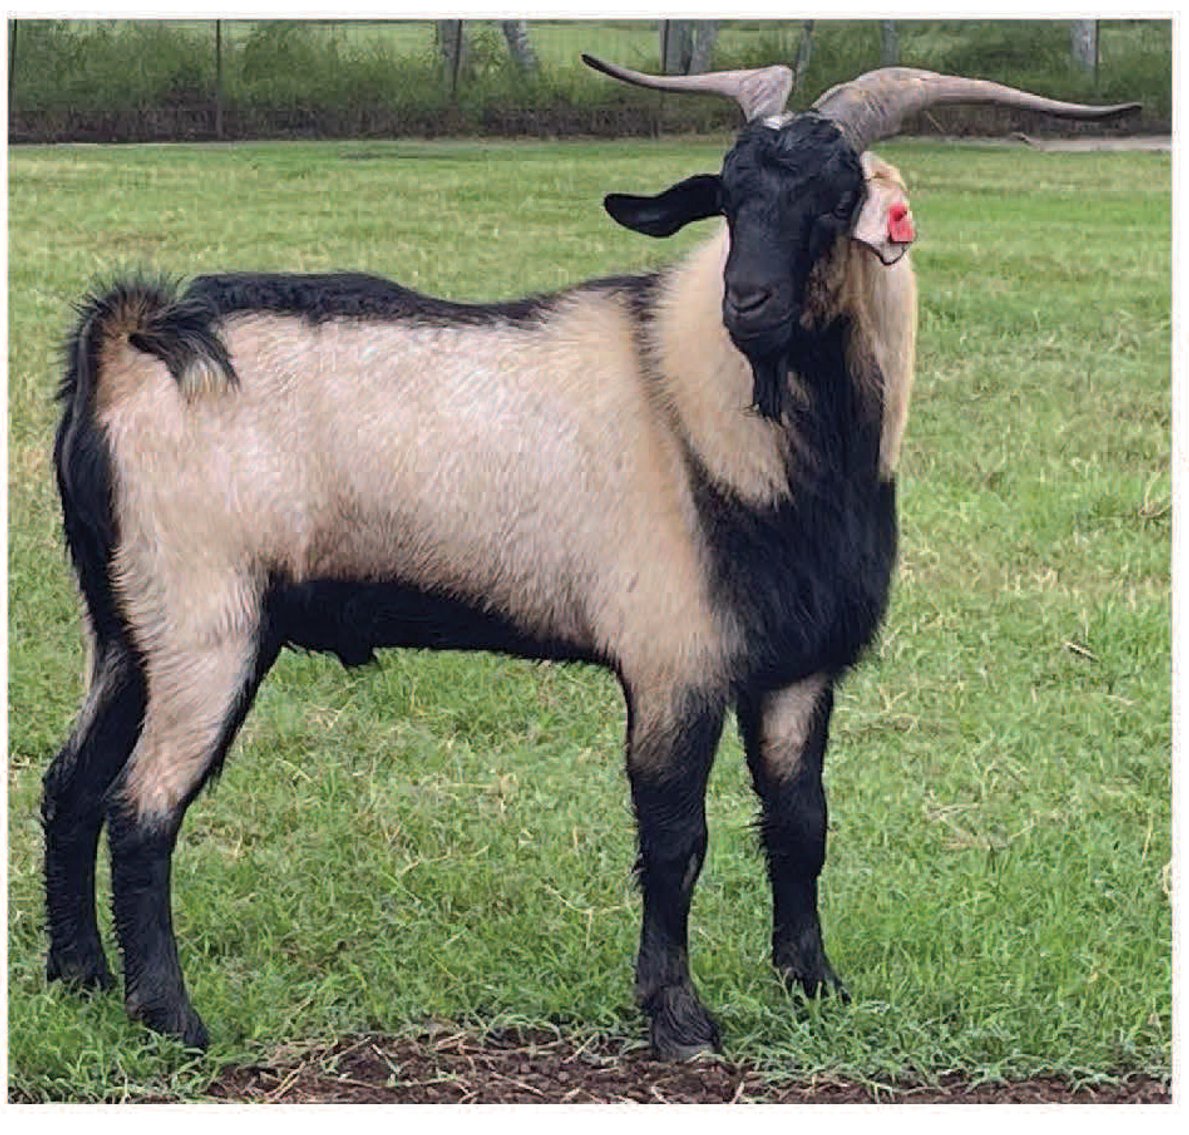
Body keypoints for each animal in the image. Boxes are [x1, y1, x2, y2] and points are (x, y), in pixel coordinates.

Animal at [43, 59, 1139, 1059]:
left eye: (835, 198)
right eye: (729, 191)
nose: (747, 302)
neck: (708, 413)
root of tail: (130, 341)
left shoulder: (798, 667)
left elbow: (800, 822)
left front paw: (814, 983)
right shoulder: (672, 661)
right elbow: (675, 838)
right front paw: (679, 1018)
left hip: (125, 627)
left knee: (71, 783)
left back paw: (78, 978)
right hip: (206, 622)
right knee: (143, 808)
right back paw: (171, 1017)